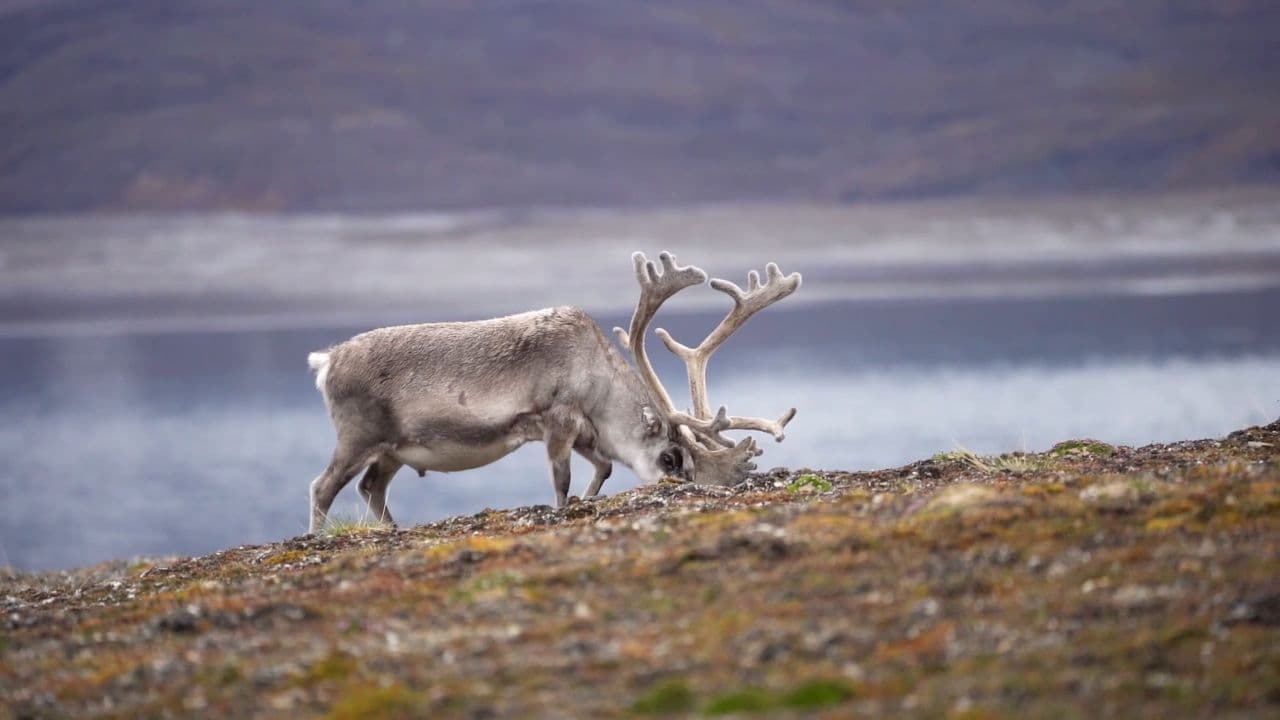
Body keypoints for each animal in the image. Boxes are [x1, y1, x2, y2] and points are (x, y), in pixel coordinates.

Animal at [305, 251, 801, 534]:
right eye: (670, 459)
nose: (682, 487)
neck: (597, 379)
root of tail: (326, 361)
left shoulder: (585, 431)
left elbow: (604, 467)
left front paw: (589, 497)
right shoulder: (556, 419)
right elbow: (560, 479)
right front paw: (565, 507)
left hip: (392, 449)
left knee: (370, 487)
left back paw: (392, 530)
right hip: (358, 436)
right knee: (323, 487)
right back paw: (316, 534)